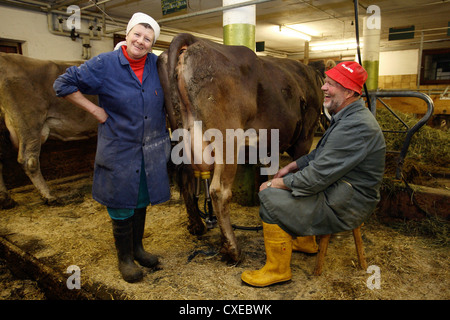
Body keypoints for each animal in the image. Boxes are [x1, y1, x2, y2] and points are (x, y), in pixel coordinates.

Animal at [158, 33, 324, 262]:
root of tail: (192, 40)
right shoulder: (305, 137)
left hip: (180, 134)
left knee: (186, 180)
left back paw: (197, 226)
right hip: (227, 139)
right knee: (219, 191)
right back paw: (232, 249)